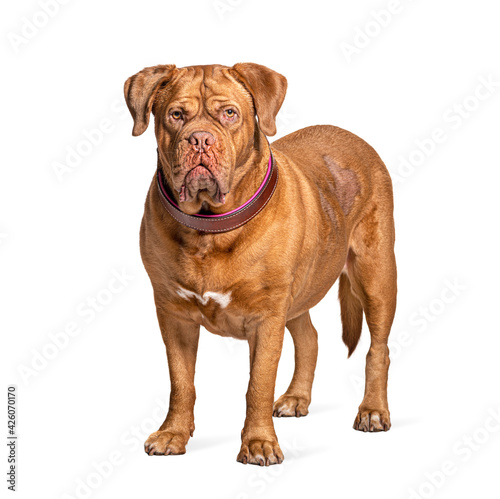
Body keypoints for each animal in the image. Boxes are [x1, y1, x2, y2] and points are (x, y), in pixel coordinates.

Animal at [126, 62, 398, 464]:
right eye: (176, 115)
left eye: (229, 113)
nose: (200, 140)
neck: (209, 229)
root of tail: (354, 137)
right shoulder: (173, 314)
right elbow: (181, 381)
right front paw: (173, 433)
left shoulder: (267, 317)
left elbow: (258, 384)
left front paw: (258, 443)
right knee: (310, 337)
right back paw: (297, 397)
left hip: (375, 274)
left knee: (378, 348)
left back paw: (373, 411)